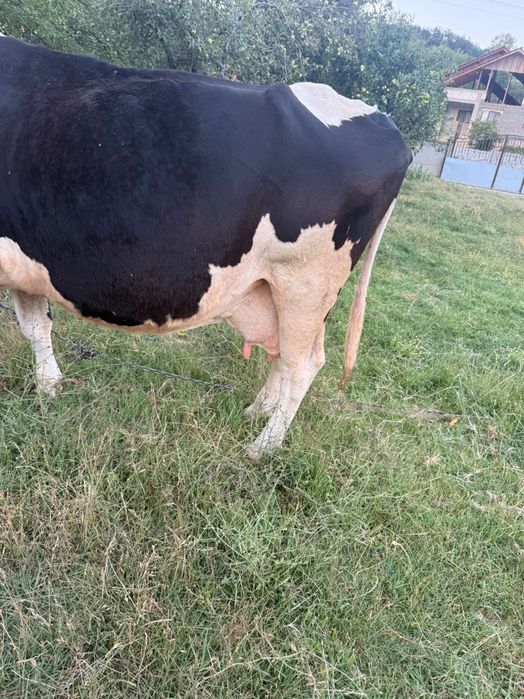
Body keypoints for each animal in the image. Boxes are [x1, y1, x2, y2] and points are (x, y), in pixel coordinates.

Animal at [0, 37, 412, 458]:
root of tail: (384, 122)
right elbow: (36, 326)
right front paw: (49, 388)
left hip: (306, 283)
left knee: (304, 364)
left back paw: (262, 446)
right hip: (284, 288)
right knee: (282, 354)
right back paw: (255, 412)